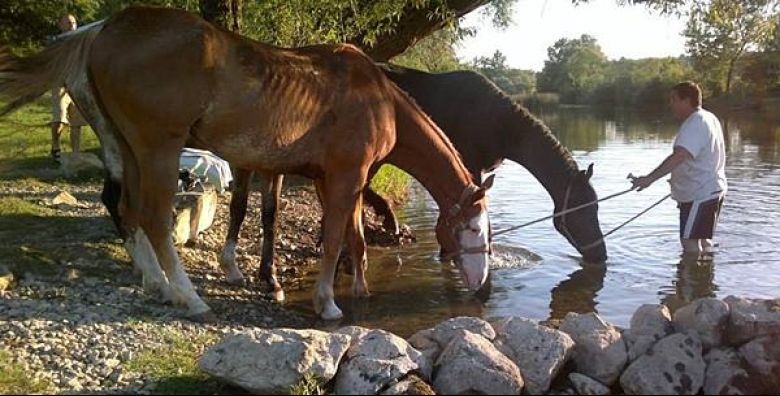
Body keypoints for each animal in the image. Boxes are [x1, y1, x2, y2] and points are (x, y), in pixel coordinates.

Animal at [0, 6, 490, 322]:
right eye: (472, 228)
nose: (483, 285)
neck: (377, 98)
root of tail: (107, 29)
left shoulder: (338, 179)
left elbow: (354, 237)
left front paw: (360, 292)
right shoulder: (345, 177)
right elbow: (334, 239)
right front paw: (328, 303)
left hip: (129, 148)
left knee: (128, 210)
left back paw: (158, 285)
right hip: (158, 149)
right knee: (155, 218)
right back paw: (189, 297)